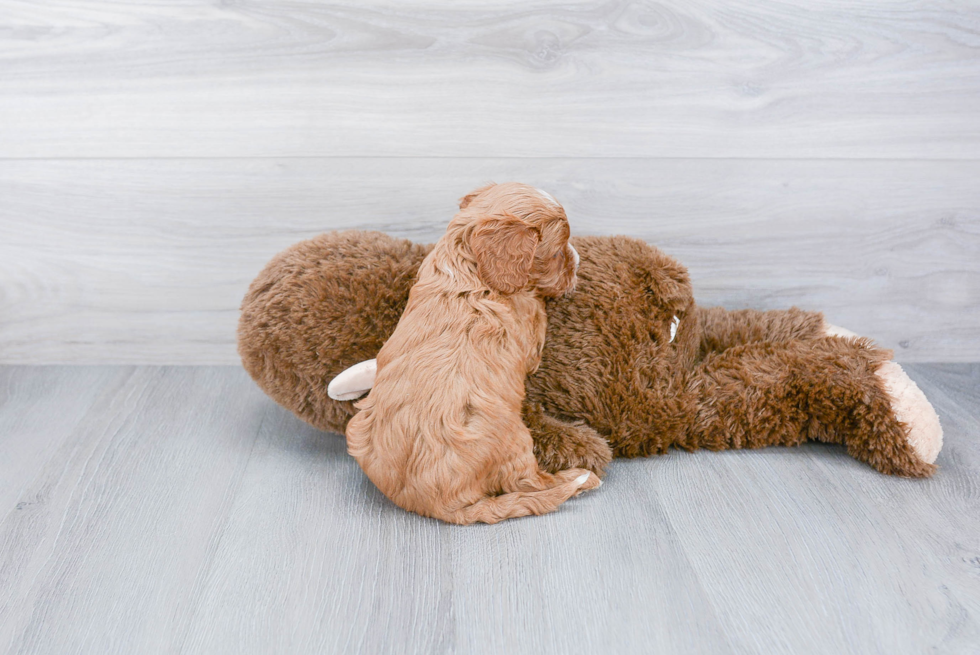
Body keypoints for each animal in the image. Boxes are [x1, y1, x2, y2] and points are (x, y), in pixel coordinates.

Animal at [344, 182, 604, 524]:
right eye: (558, 251)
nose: (579, 261)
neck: (466, 266)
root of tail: (440, 505)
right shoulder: (529, 323)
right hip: (515, 438)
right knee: (528, 482)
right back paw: (577, 478)